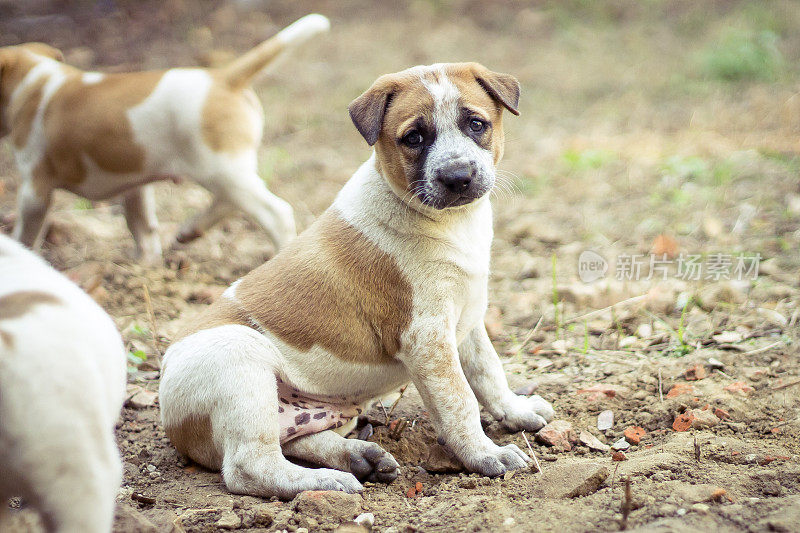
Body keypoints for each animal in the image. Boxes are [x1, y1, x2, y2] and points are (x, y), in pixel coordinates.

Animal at [0, 12, 330, 262]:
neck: (34, 80)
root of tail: (224, 78)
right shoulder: (135, 186)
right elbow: (141, 226)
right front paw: (144, 264)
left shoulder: (35, 190)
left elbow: (25, 233)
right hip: (229, 171)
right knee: (229, 202)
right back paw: (191, 230)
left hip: (220, 170)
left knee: (275, 212)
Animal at [159, 62, 552, 498]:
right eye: (414, 138)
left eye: (476, 124)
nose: (458, 176)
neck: (449, 222)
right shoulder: (427, 337)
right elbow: (459, 399)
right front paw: (487, 455)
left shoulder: (468, 320)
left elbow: (488, 372)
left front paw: (516, 412)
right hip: (239, 360)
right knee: (250, 465)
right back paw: (328, 481)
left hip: (319, 411)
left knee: (295, 438)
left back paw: (360, 457)